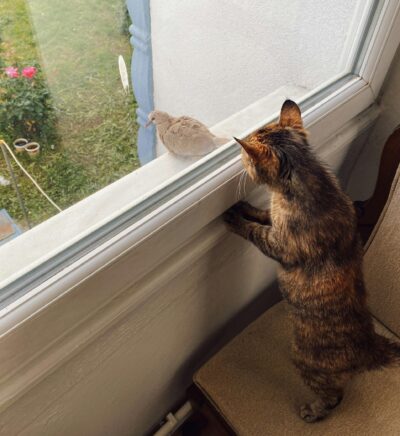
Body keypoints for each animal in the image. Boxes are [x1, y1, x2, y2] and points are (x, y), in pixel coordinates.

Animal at [223, 101, 400, 422]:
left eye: (245, 155)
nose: (240, 158)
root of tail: (371, 347)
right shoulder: (275, 219)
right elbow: (264, 214)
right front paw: (246, 207)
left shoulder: (280, 245)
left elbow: (255, 231)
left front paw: (236, 220)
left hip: (308, 363)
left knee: (334, 398)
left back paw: (312, 412)